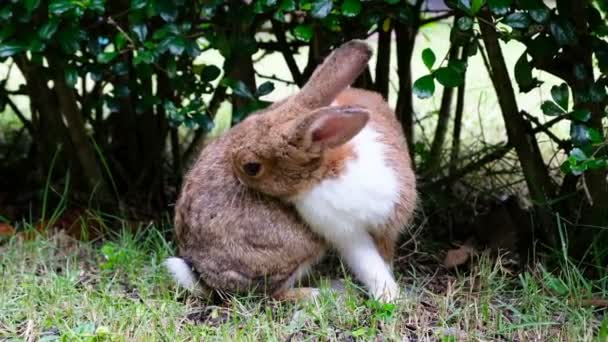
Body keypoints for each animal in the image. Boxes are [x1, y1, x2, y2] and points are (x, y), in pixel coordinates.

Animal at [228, 40, 418, 302]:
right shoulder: (346, 233)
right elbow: (367, 262)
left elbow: (383, 259)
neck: (329, 172)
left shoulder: (388, 220)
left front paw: (389, 297)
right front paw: (387, 296)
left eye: (251, 167)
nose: (230, 163)